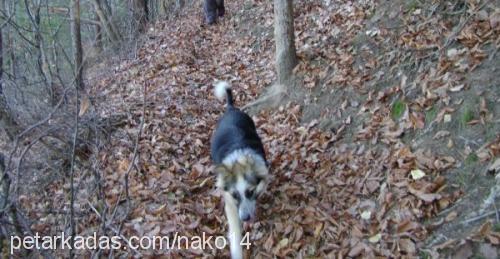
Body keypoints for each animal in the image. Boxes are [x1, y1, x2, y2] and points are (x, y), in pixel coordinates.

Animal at [210, 82, 270, 259]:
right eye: (235, 195)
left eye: (250, 192)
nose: (245, 218)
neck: (239, 160)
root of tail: (230, 109)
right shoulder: (230, 203)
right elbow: (235, 232)